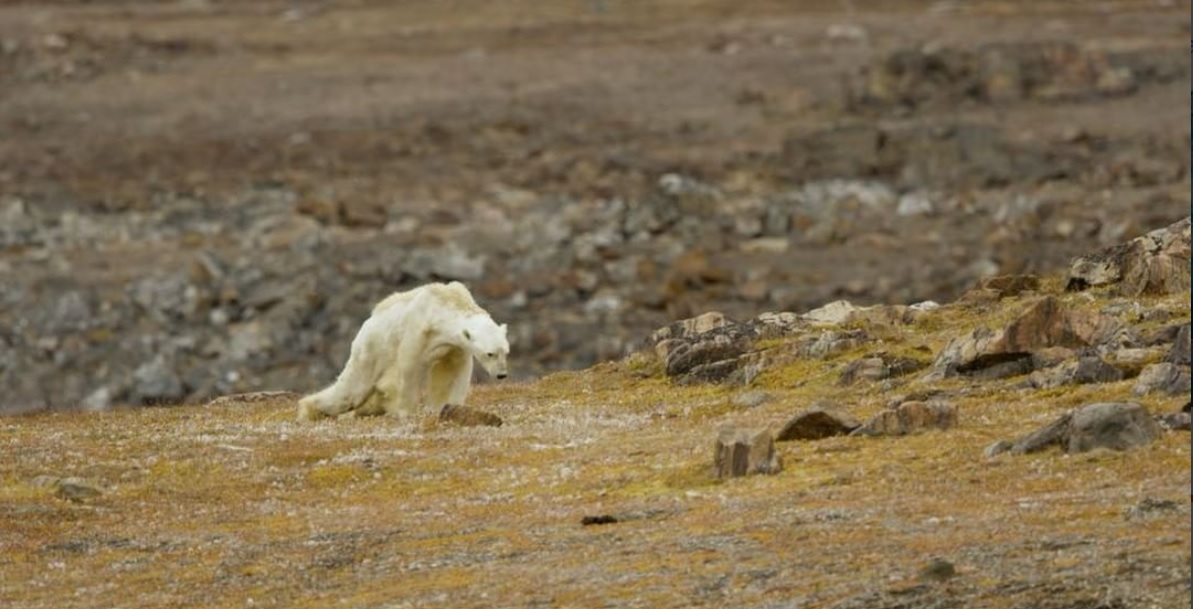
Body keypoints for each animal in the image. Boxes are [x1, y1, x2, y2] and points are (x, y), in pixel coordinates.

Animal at [297, 281, 508, 420]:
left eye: (505, 352)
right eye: (490, 354)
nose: (502, 375)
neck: (445, 303)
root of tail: (367, 323)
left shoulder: (454, 346)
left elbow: (452, 372)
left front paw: (447, 407)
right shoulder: (419, 330)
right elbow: (409, 367)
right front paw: (405, 411)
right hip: (371, 349)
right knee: (350, 392)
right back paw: (309, 409)